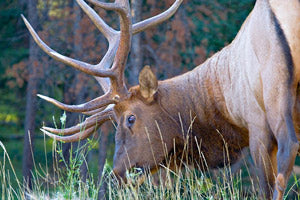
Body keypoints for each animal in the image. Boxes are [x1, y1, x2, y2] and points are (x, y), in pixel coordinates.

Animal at [21, 0, 300, 199]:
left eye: (130, 118)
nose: (118, 173)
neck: (227, 104)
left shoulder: (256, 123)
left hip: (275, 92)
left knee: (288, 151)